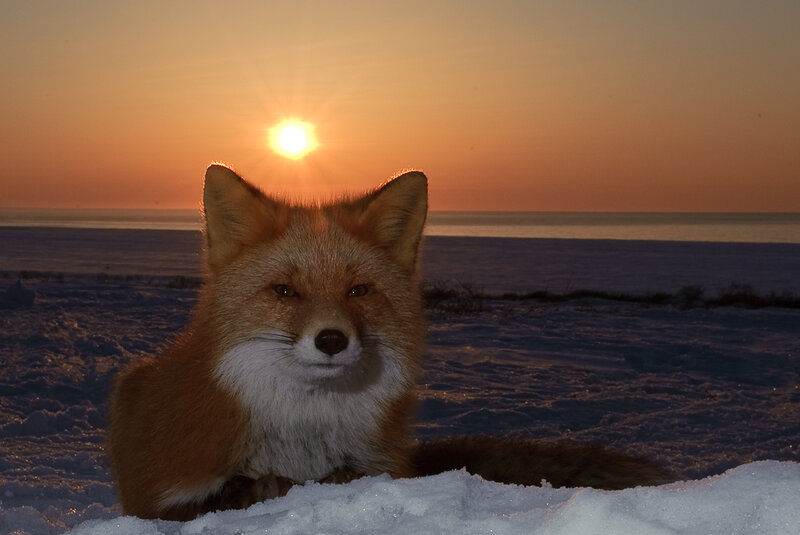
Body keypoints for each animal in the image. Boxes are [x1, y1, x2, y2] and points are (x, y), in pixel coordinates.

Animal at [108, 164, 668, 520]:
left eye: (358, 291)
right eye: (285, 291)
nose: (332, 339)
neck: (302, 438)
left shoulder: (381, 468)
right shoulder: (159, 494)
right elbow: (213, 499)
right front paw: (260, 490)